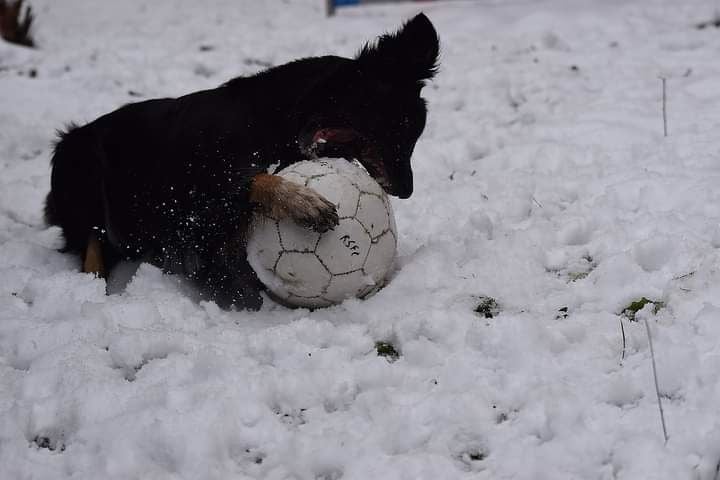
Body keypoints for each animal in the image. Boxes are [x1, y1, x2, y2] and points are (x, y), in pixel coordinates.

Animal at [46, 13, 438, 312]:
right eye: (398, 128)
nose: (406, 191)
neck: (274, 121)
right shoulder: (183, 192)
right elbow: (247, 180)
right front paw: (302, 200)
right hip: (80, 159)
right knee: (90, 243)